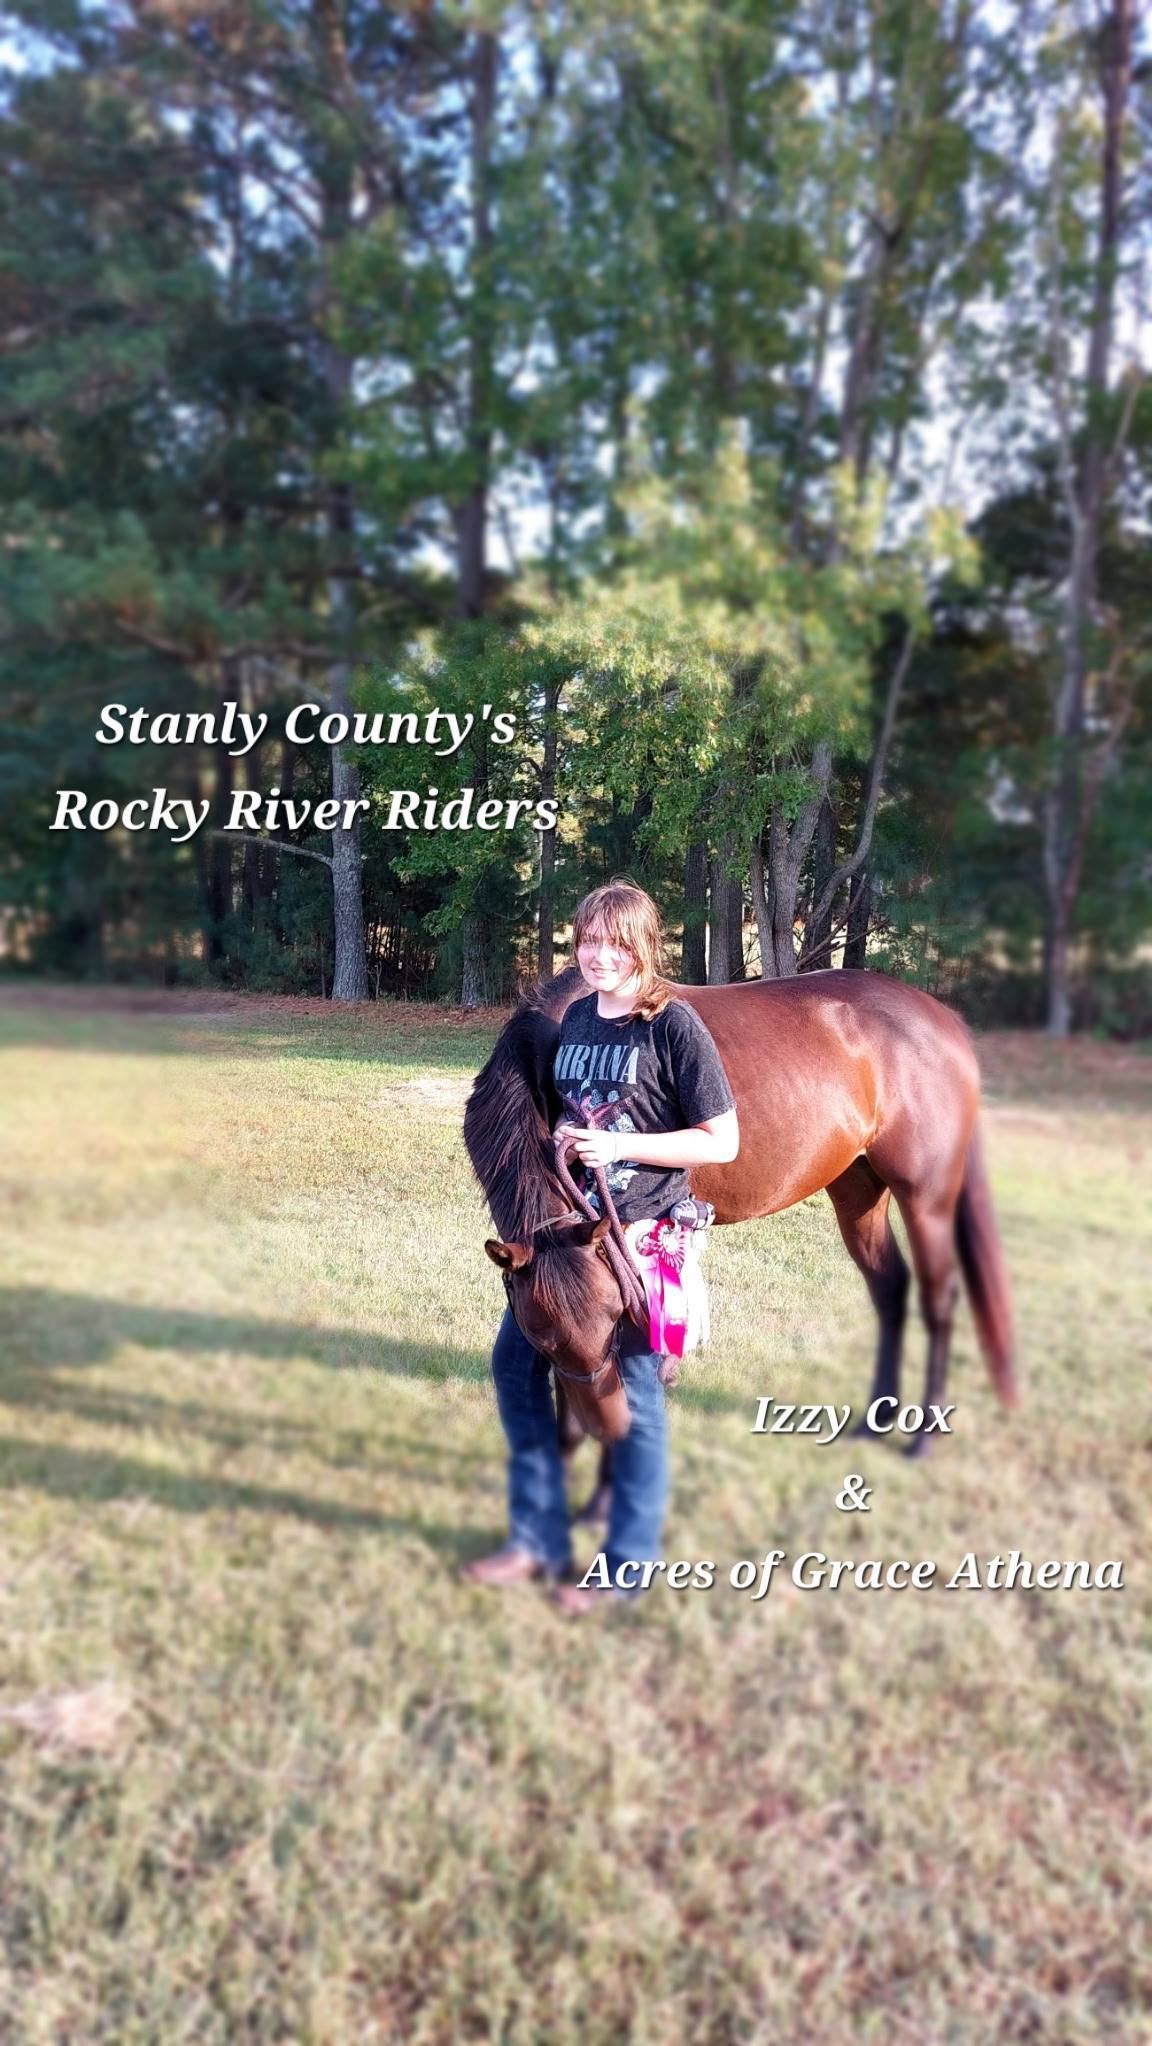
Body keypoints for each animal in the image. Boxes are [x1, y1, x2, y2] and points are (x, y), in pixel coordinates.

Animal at [464, 964, 1016, 1457]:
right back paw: (875, 1421)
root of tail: (944, 1019)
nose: (609, 1427)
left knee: (938, 1300)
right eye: (543, 1338)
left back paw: (923, 1439)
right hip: (858, 1189)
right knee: (889, 1288)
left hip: (926, 1197)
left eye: (613, 1318)